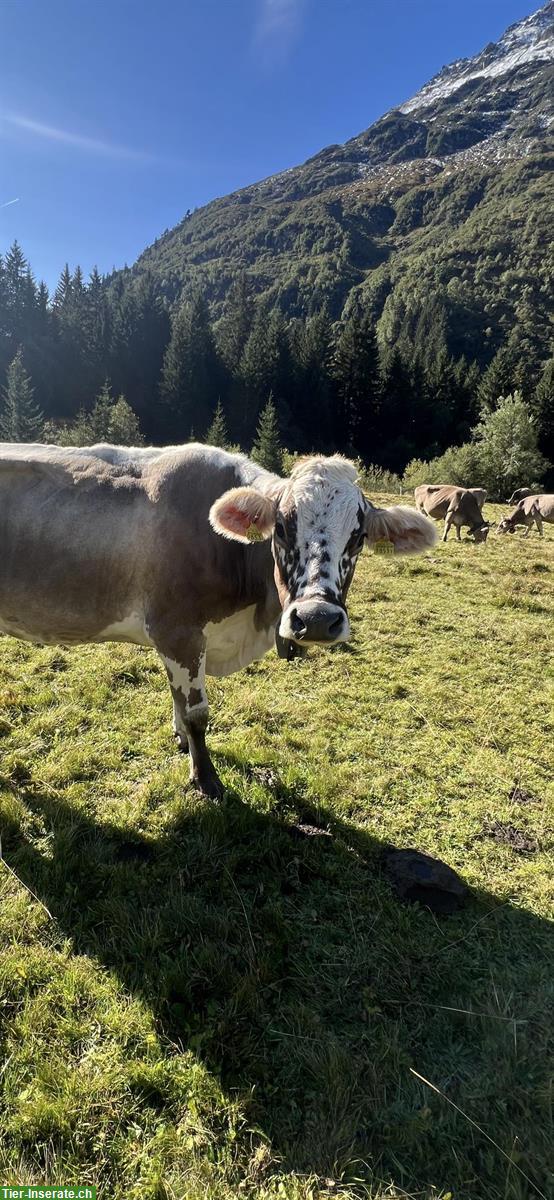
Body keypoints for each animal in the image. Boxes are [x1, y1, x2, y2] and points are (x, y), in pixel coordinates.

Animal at [0, 441, 436, 796]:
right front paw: (205, 778)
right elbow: (196, 713)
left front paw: (181, 741)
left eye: (359, 538)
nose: (315, 618)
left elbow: (180, 704)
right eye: (281, 527)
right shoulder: (178, 632)